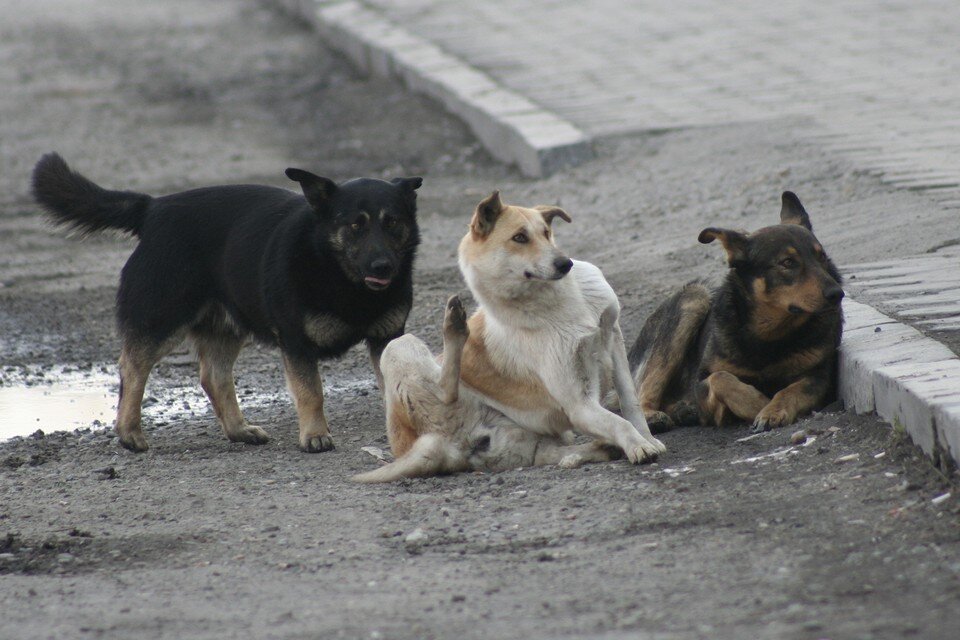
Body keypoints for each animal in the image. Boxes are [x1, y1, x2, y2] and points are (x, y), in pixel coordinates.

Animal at [32, 155, 420, 452]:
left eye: (392, 223)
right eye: (355, 226)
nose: (383, 267)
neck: (337, 271)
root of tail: (153, 208)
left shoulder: (386, 338)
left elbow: (392, 383)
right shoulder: (296, 345)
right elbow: (312, 392)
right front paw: (315, 436)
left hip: (226, 326)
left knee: (213, 377)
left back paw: (238, 430)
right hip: (163, 319)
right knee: (132, 366)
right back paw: (129, 433)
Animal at [354, 192, 668, 482]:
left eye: (546, 233)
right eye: (519, 238)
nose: (565, 264)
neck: (555, 300)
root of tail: (444, 448)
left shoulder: (612, 336)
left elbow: (630, 402)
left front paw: (647, 439)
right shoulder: (580, 405)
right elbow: (618, 422)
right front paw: (639, 447)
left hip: (536, 441)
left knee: (558, 453)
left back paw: (600, 449)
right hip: (398, 345)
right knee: (445, 389)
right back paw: (454, 326)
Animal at [632, 191, 840, 436]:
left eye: (822, 257)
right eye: (788, 262)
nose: (838, 293)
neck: (770, 334)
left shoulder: (818, 377)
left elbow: (790, 391)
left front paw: (772, 411)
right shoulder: (702, 382)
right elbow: (721, 378)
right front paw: (759, 404)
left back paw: (684, 410)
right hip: (694, 298)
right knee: (645, 388)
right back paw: (652, 416)